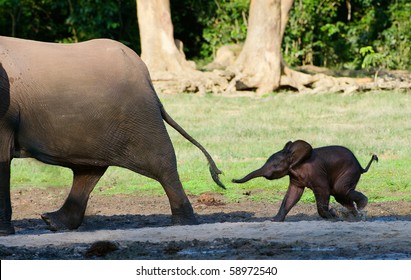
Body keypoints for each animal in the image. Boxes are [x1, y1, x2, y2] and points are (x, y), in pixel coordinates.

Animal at [0, 36, 225, 235]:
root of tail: (147, 77)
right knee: (88, 170)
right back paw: (53, 222)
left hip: (139, 115)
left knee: (162, 163)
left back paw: (184, 223)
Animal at [233, 140, 378, 221]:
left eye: (275, 166)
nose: (232, 180)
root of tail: (361, 167)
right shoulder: (295, 177)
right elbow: (293, 195)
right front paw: (274, 220)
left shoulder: (317, 172)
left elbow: (323, 190)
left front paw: (332, 216)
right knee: (341, 195)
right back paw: (356, 217)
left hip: (349, 172)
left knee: (339, 190)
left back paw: (361, 206)